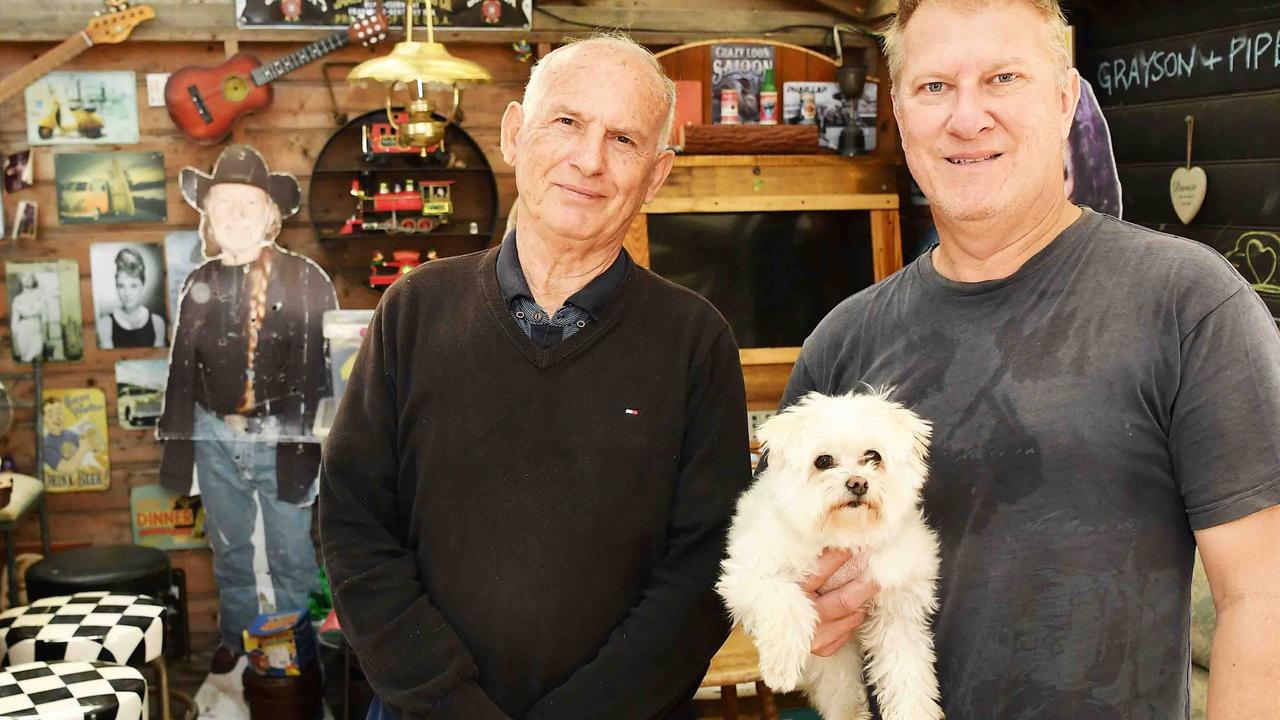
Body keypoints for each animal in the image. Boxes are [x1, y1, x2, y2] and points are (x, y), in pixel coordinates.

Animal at [721, 392, 942, 717]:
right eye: (823, 461)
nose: (858, 483)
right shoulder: (749, 574)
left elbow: (907, 675)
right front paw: (780, 666)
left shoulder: (896, 611)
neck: (845, 535)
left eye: (873, 456)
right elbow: (787, 602)